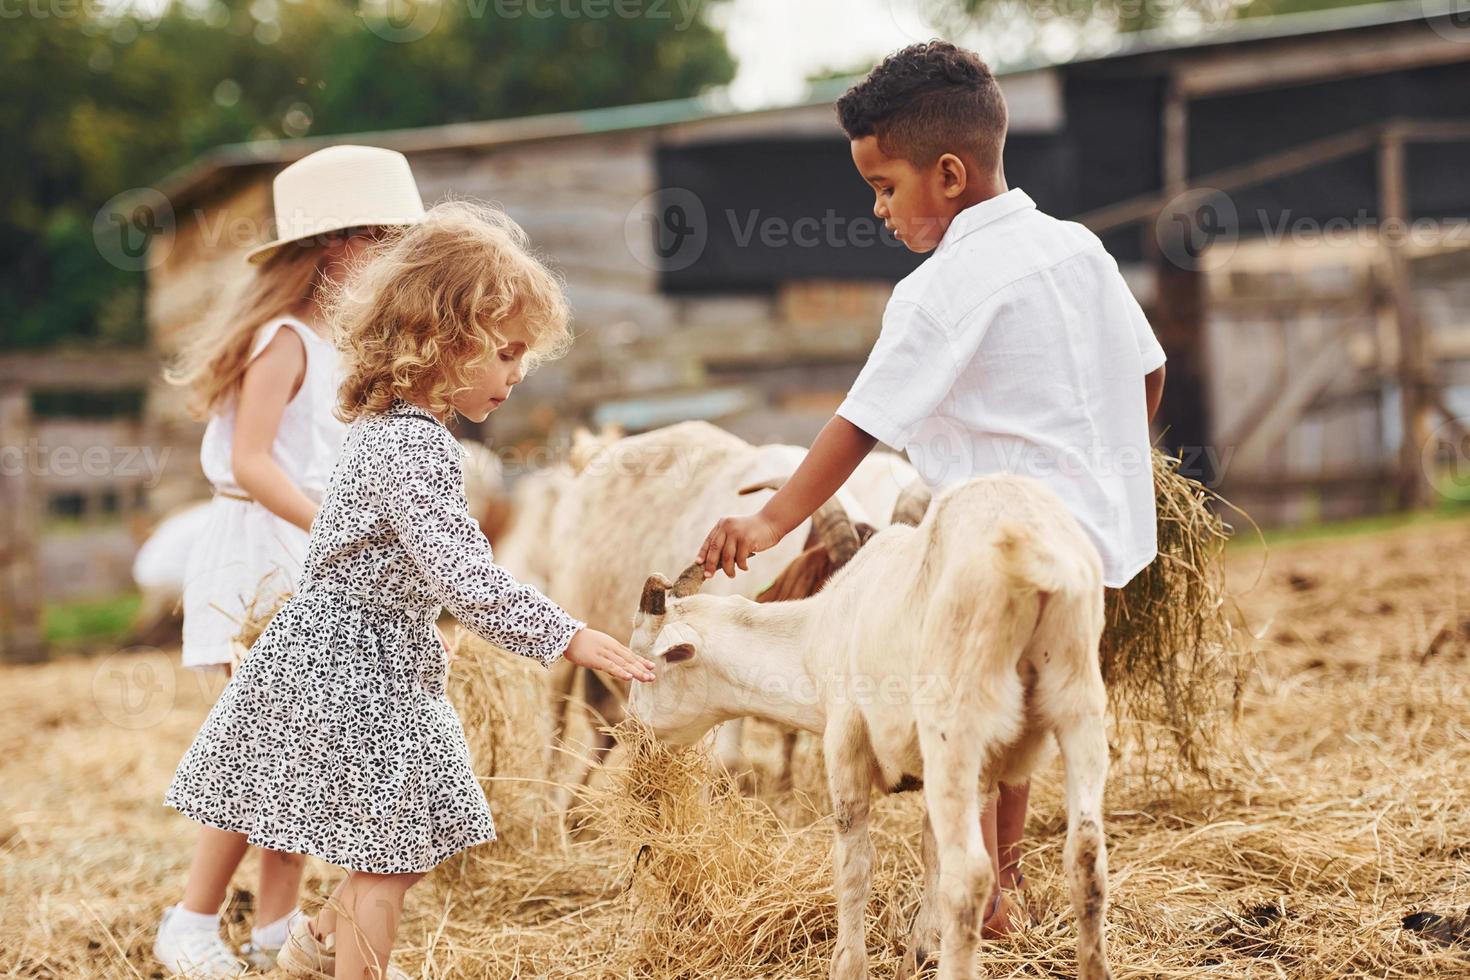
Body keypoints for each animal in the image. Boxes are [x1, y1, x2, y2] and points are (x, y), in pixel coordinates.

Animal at [626, 476, 1105, 980]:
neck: (814, 635)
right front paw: (918, 952)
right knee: (1086, 855)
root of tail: (1029, 552)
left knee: (970, 875)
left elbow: (854, 861)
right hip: (1078, 699)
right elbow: (930, 850)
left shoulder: (845, 737)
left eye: (645, 662)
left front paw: (849, 964)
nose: (635, 735)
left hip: (957, 723)